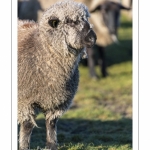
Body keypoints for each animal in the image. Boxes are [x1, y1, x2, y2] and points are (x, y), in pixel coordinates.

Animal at [17, 0, 96, 149]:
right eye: (70, 21)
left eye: (86, 19)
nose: (93, 38)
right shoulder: (25, 100)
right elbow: (28, 125)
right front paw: (24, 146)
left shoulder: (57, 100)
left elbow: (51, 123)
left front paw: (51, 145)